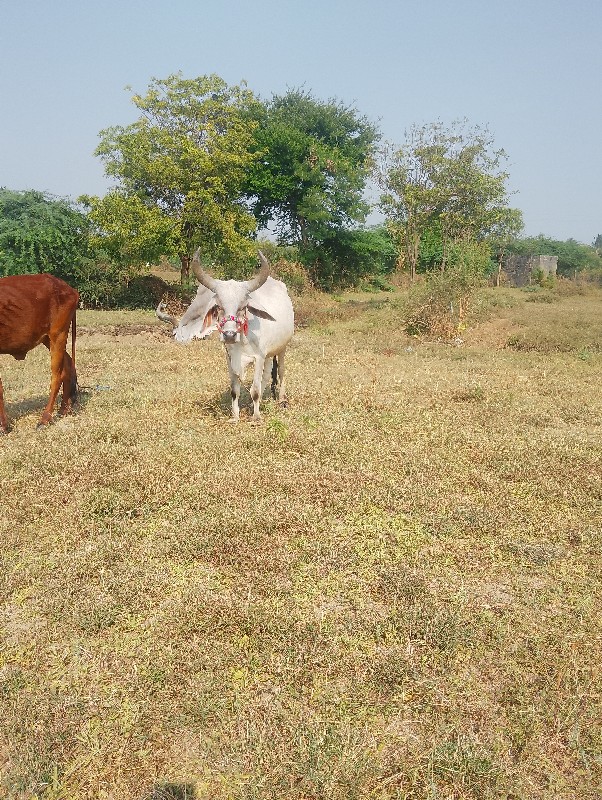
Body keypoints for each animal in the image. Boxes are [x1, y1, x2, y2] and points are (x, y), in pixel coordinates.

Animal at [0, 278, 78, 434]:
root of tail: (69, 288)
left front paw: (3, 426)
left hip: (58, 334)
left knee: (57, 376)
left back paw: (45, 419)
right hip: (48, 339)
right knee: (68, 365)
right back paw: (63, 408)